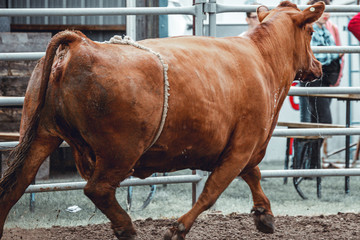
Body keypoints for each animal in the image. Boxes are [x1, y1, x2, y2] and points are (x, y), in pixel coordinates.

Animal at [0, 1, 324, 238]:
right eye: (310, 32)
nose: (318, 66)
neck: (262, 58)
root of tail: (82, 44)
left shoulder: (243, 147)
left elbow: (253, 175)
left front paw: (265, 217)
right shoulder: (242, 145)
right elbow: (212, 191)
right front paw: (178, 228)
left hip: (41, 135)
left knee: (15, 185)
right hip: (120, 152)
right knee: (97, 189)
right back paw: (126, 228)